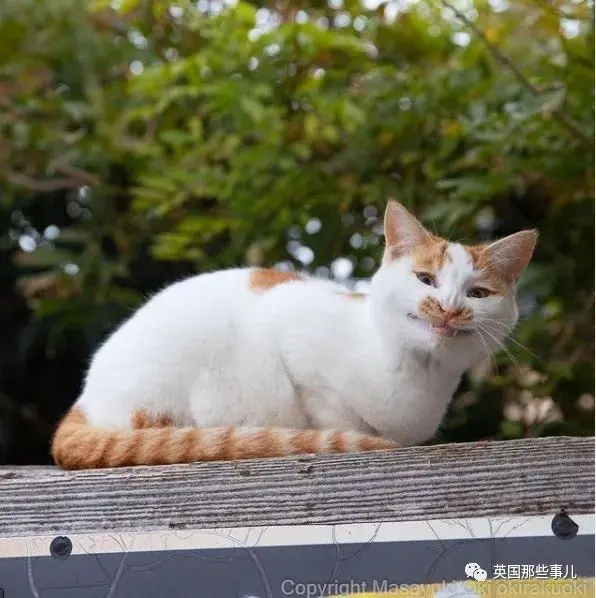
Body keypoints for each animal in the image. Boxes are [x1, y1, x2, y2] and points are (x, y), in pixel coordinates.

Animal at [51, 204, 536, 472]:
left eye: (477, 294)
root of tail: (84, 400)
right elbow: (330, 409)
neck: (419, 373)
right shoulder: (292, 332)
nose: (450, 308)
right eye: (426, 280)